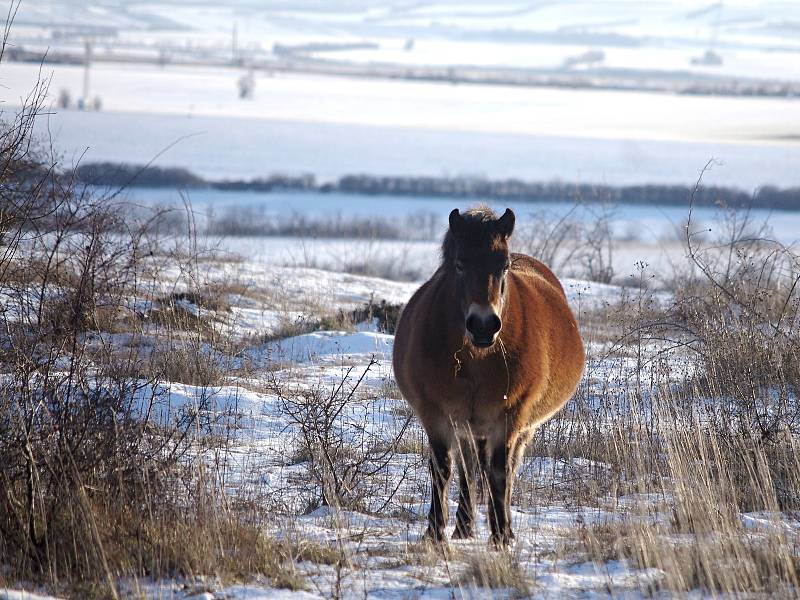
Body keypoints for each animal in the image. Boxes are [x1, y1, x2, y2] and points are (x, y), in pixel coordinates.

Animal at [392, 205, 584, 544]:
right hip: (466, 427)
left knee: (504, 469)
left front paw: (502, 536)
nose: (483, 325)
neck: (476, 359)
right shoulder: (436, 415)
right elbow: (442, 469)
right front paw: (435, 533)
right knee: (468, 470)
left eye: (503, 265)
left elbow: (499, 474)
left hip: (519, 429)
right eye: (460, 264)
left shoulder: (510, 418)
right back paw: (463, 527)